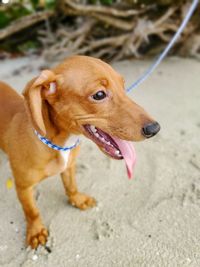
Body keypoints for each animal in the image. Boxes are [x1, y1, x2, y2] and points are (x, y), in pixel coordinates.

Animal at [0, 55, 159, 250]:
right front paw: (36, 230)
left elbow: (71, 186)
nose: (155, 128)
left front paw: (77, 199)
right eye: (99, 95)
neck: (58, 144)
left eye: (123, 85)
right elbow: (32, 211)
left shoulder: (69, 167)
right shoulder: (23, 187)